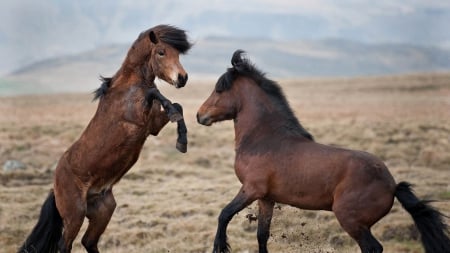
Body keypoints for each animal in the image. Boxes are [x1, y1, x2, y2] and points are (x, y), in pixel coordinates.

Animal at [19, 24, 192, 253]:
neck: (128, 87)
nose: (182, 78)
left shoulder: (152, 126)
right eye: (161, 52)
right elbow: (155, 94)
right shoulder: (137, 118)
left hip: (104, 210)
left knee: (89, 241)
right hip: (75, 214)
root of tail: (55, 187)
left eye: (178, 53)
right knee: (65, 245)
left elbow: (177, 107)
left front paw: (182, 141)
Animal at [197, 50, 450, 253]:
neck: (265, 138)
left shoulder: (251, 189)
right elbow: (262, 236)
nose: (200, 116)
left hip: (351, 221)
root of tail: (392, 184)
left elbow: (224, 214)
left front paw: (220, 246)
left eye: (219, 89)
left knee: (373, 248)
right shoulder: (266, 198)